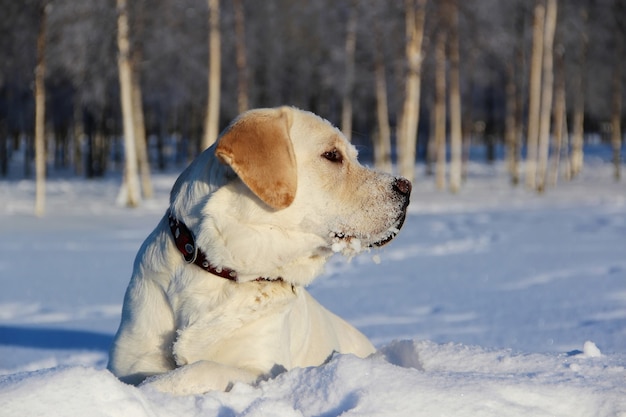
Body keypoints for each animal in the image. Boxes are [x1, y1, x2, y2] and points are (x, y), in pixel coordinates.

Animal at [107, 106, 410, 394]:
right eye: (332, 155)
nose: (406, 187)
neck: (221, 267)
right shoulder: (131, 359)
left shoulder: (261, 369)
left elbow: (199, 369)